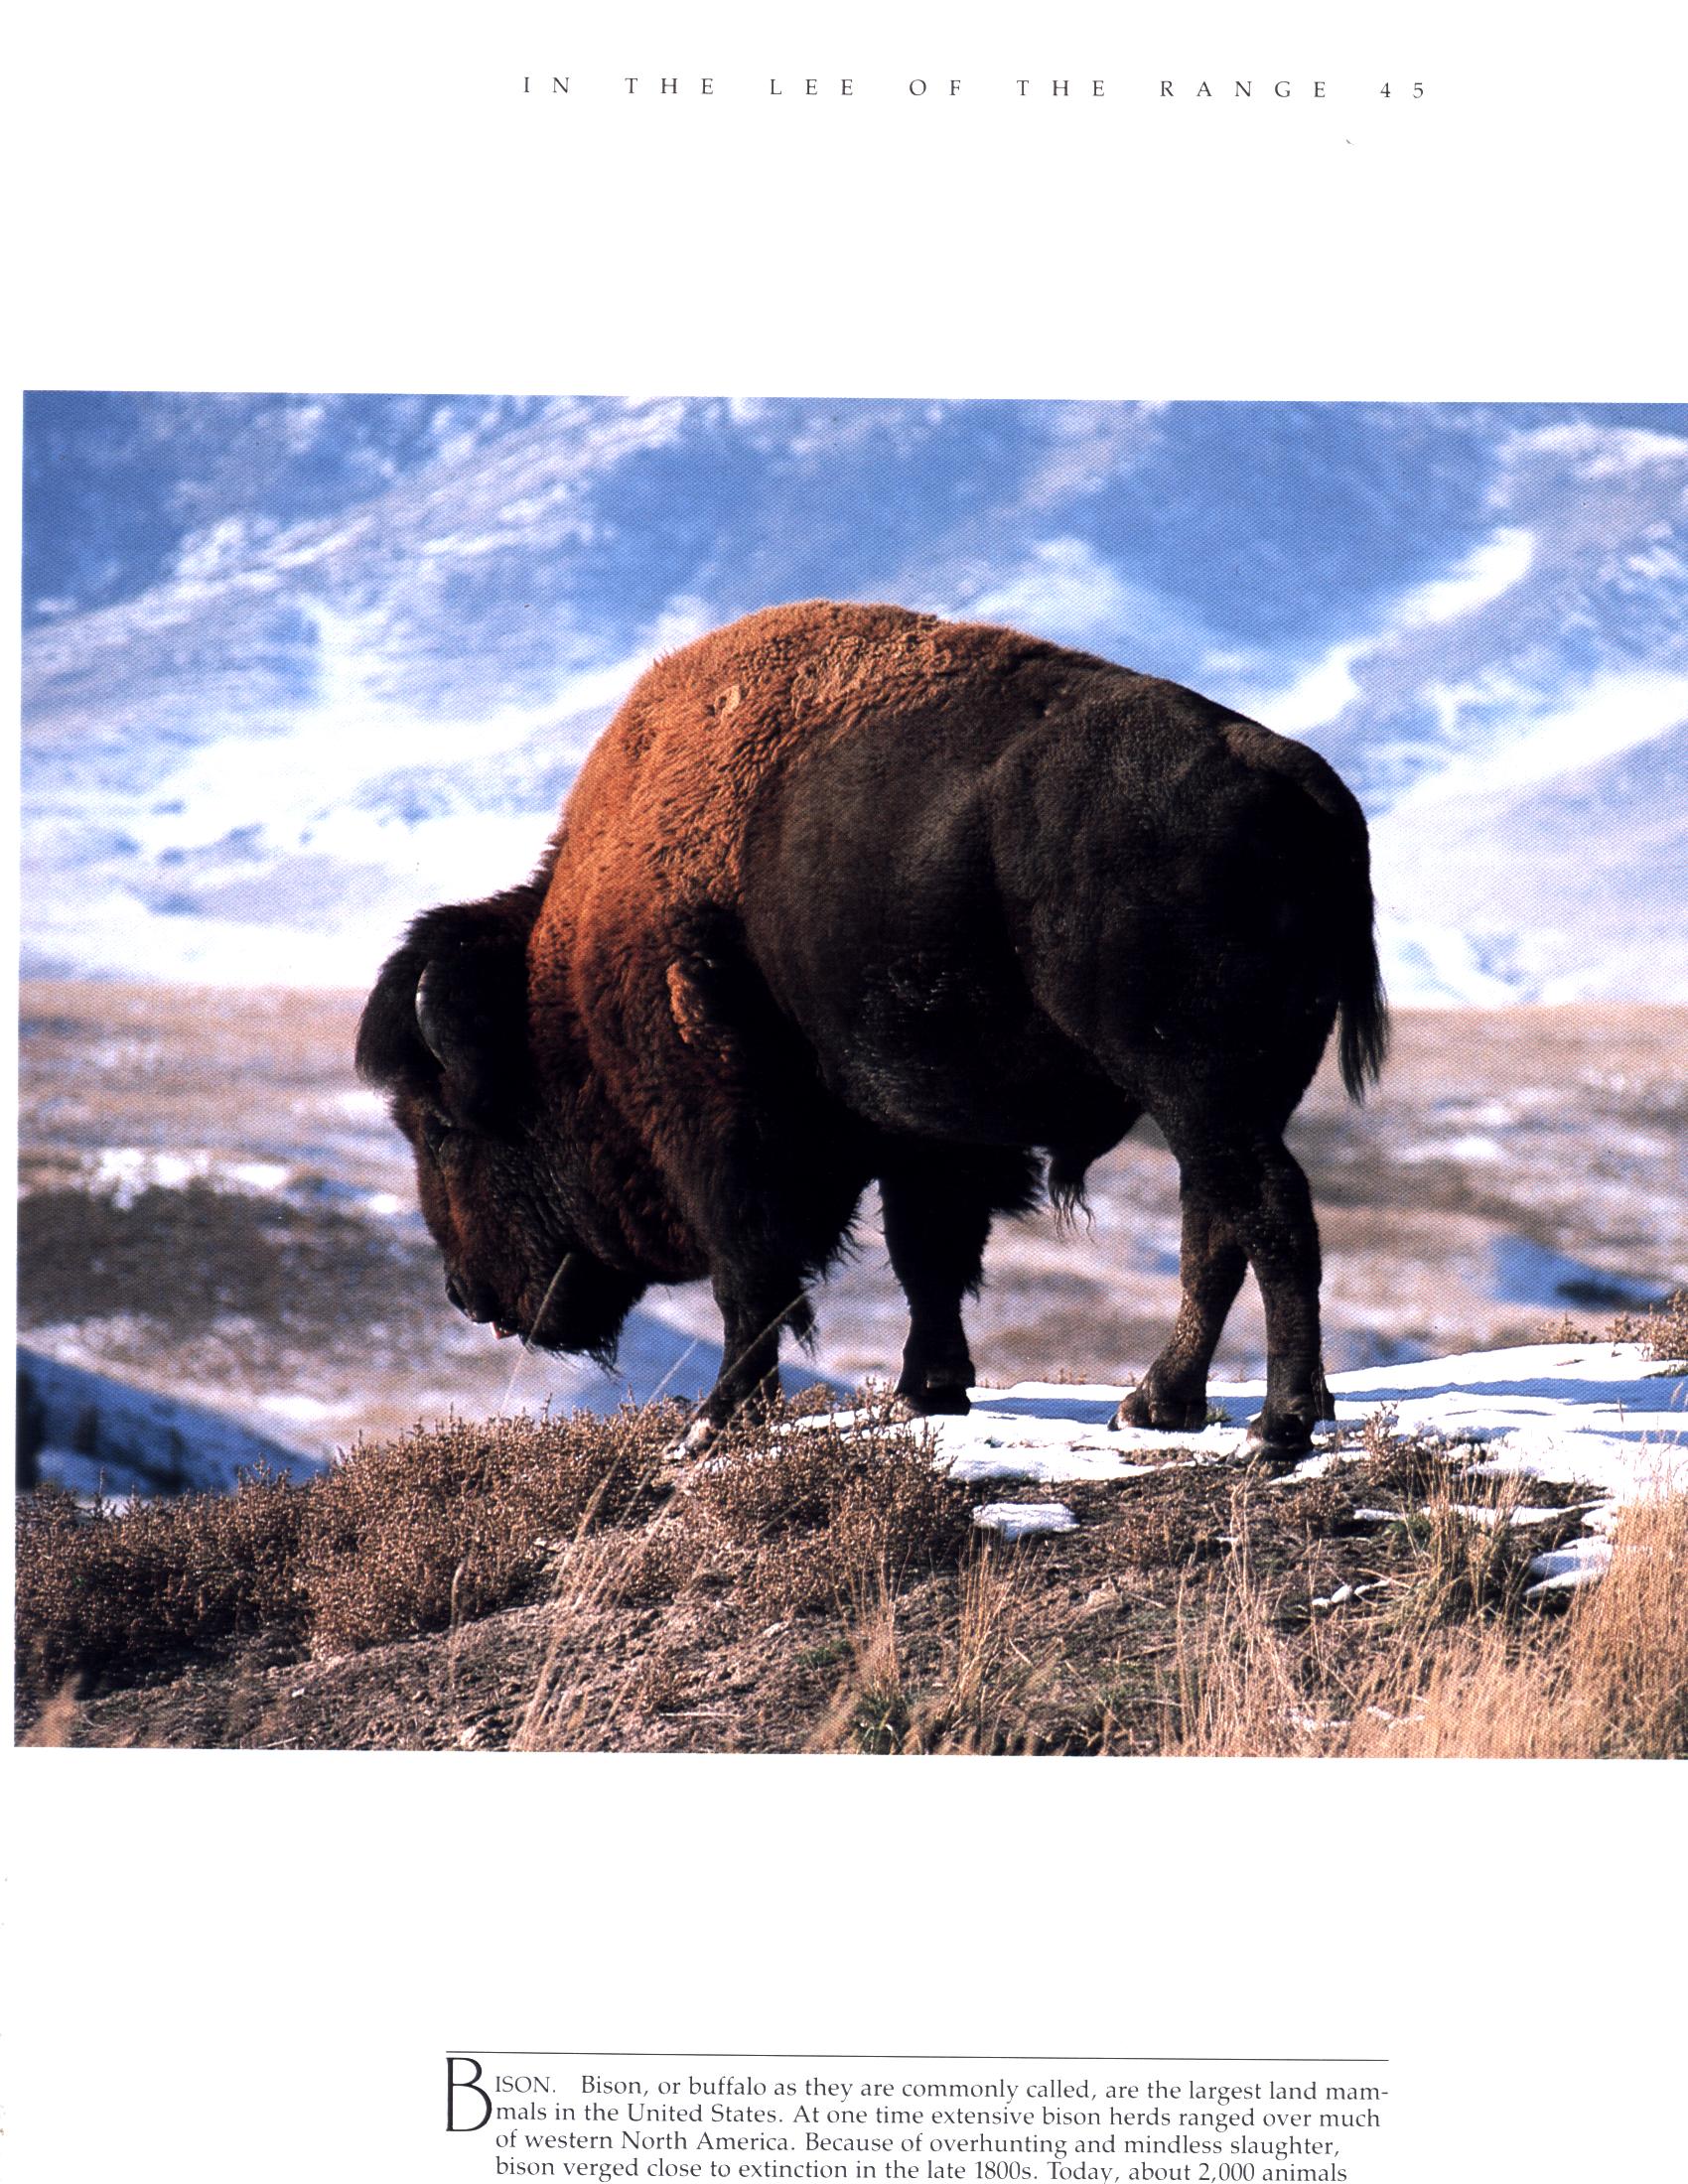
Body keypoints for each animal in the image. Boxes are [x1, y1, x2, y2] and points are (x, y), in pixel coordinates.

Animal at [355, 603, 1379, 1449]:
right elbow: (928, 1258)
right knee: (1217, 1225)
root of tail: (1291, 775)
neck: (561, 983)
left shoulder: (723, 1143)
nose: (465, 1294)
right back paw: (1159, 1404)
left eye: (440, 1129)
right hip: (1228, 1098)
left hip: (1197, 1089)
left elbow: (755, 1283)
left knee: (1267, 1213)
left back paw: (1279, 1425)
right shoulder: (926, 1137)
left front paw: (713, 1425)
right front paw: (927, 1392)